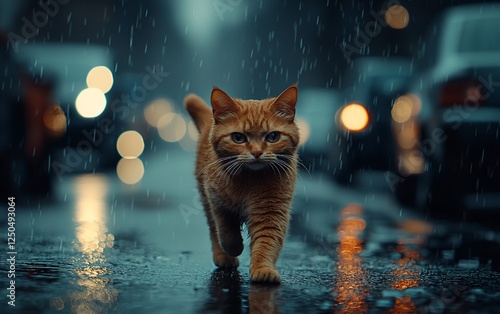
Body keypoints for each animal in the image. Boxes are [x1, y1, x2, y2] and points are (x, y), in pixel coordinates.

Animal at [186, 84, 298, 284]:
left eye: (273, 137)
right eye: (238, 138)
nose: (257, 152)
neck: (249, 180)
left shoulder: (271, 213)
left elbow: (266, 243)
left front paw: (263, 269)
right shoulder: (218, 203)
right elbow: (226, 234)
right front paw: (235, 248)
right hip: (206, 200)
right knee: (214, 231)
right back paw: (224, 258)